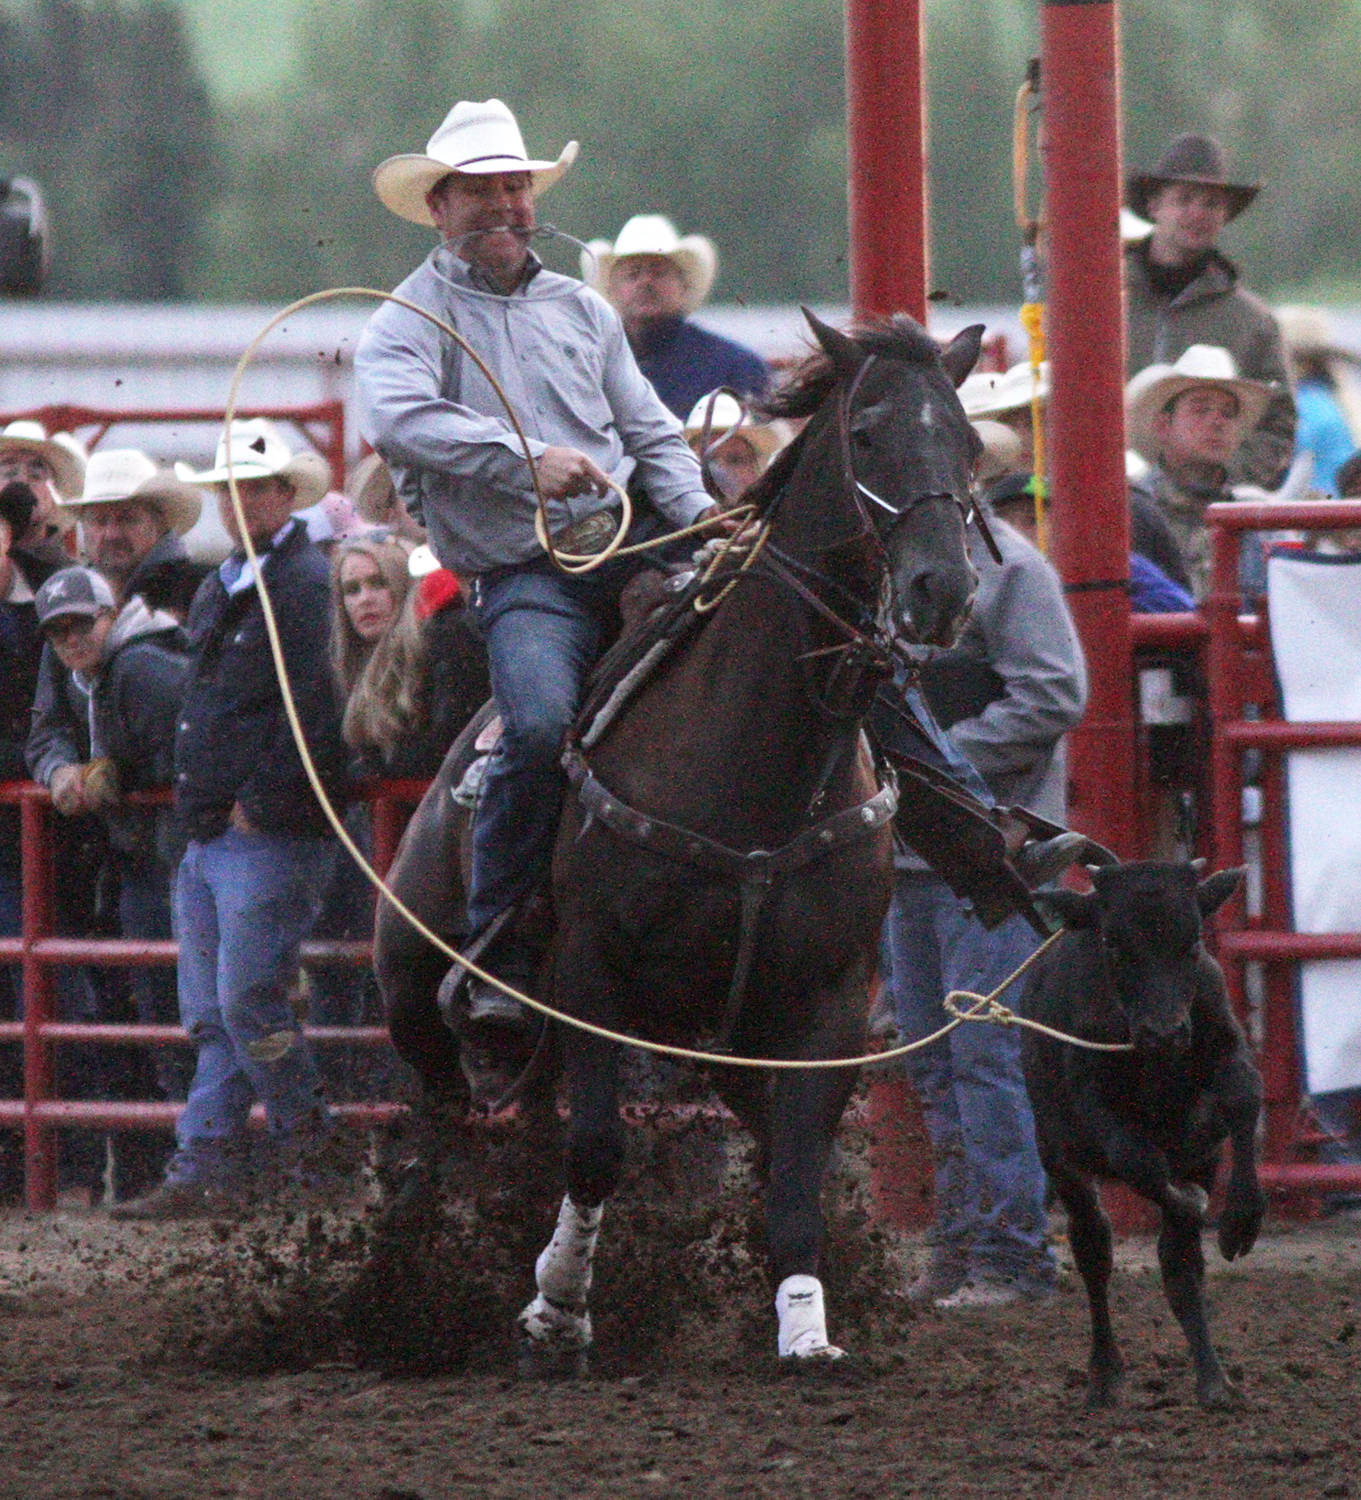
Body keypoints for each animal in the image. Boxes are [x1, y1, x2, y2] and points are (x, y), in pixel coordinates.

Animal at [378, 316, 984, 1374]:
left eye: (969, 442)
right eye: (864, 433)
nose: (939, 588)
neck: (755, 761)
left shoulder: (822, 1005)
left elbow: (794, 1171)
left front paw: (805, 1327)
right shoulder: (592, 977)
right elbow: (596, 1152)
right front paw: (556, 1312)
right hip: (417, 997)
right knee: (440, 1129)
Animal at [1026, 864, 1272, 1410]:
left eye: (1194, 940)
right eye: (1113, 943)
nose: (1163, 1033)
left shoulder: (1224, 1044)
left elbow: (1243, 1098)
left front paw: (1239, 1220)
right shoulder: (1091, 1102)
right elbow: (1137, 1161)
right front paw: (1193, 1201)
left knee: (1179, 1269)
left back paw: (1213, 1380)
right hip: (1060, 1159)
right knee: (1094, 1249)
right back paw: (1104, 1374)